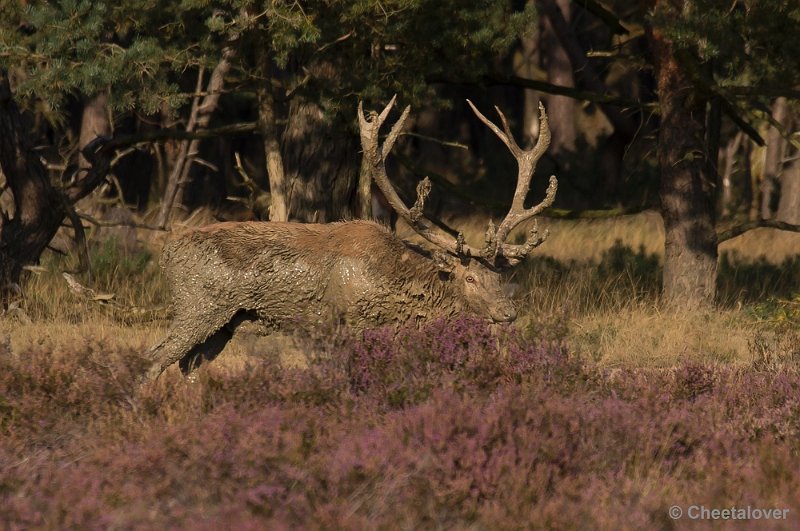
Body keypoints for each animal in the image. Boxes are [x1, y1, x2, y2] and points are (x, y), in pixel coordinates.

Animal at [144, 97, 556, 380]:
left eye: (500, 276)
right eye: (469, 277)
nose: (508, 312)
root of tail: (166, 254)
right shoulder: (350, 323)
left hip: (222, 325)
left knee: (188, 366)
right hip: (197, 306)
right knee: (154, 358)